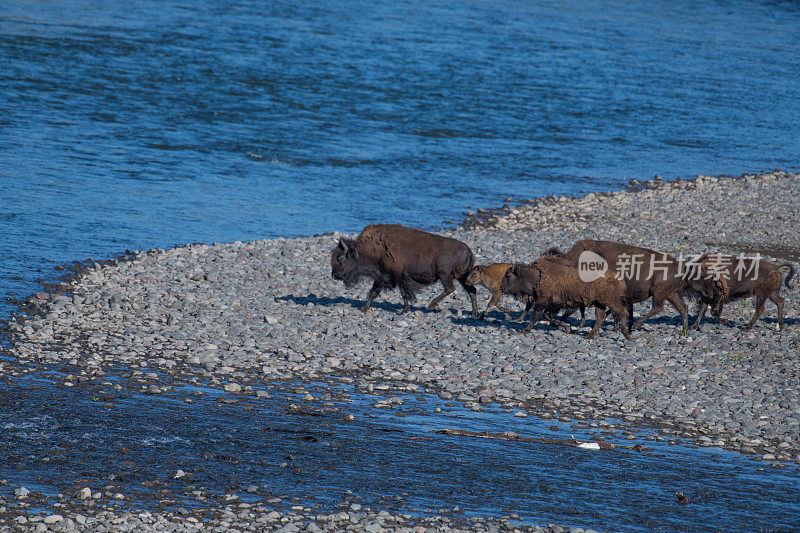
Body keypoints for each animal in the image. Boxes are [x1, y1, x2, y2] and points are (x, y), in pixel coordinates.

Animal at [330, 224, 478, 316]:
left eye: (340, 258)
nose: (334, 275)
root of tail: (468, 249)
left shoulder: (398, 276)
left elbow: (404, 293)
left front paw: (403, 310)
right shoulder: (382, 276)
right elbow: (374, 292)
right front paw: (364, 308)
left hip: (444, 274)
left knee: (450, 288)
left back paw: (431, 305)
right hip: (463, 277)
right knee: (471, 291)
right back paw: (474, 314)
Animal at [500, 256, 632, 338]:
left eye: (508, 276)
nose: (501, 288)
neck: (538, 277)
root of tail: (619, 279)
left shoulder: (543, 302)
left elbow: (536, 316)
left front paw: (525, 329)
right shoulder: (552, 305)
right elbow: (548, 317)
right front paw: (565, 327)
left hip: (610, 301)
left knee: (621, 312)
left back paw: (625, 334)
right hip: (599, 303)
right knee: (601, 317)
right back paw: (588, 336)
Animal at [552, 239, 688, 330]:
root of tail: (680, 266)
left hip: (659, 292)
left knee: (658, 307)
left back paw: (636, 325)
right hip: (671, 294)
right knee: (682, 308)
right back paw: (684, 330)